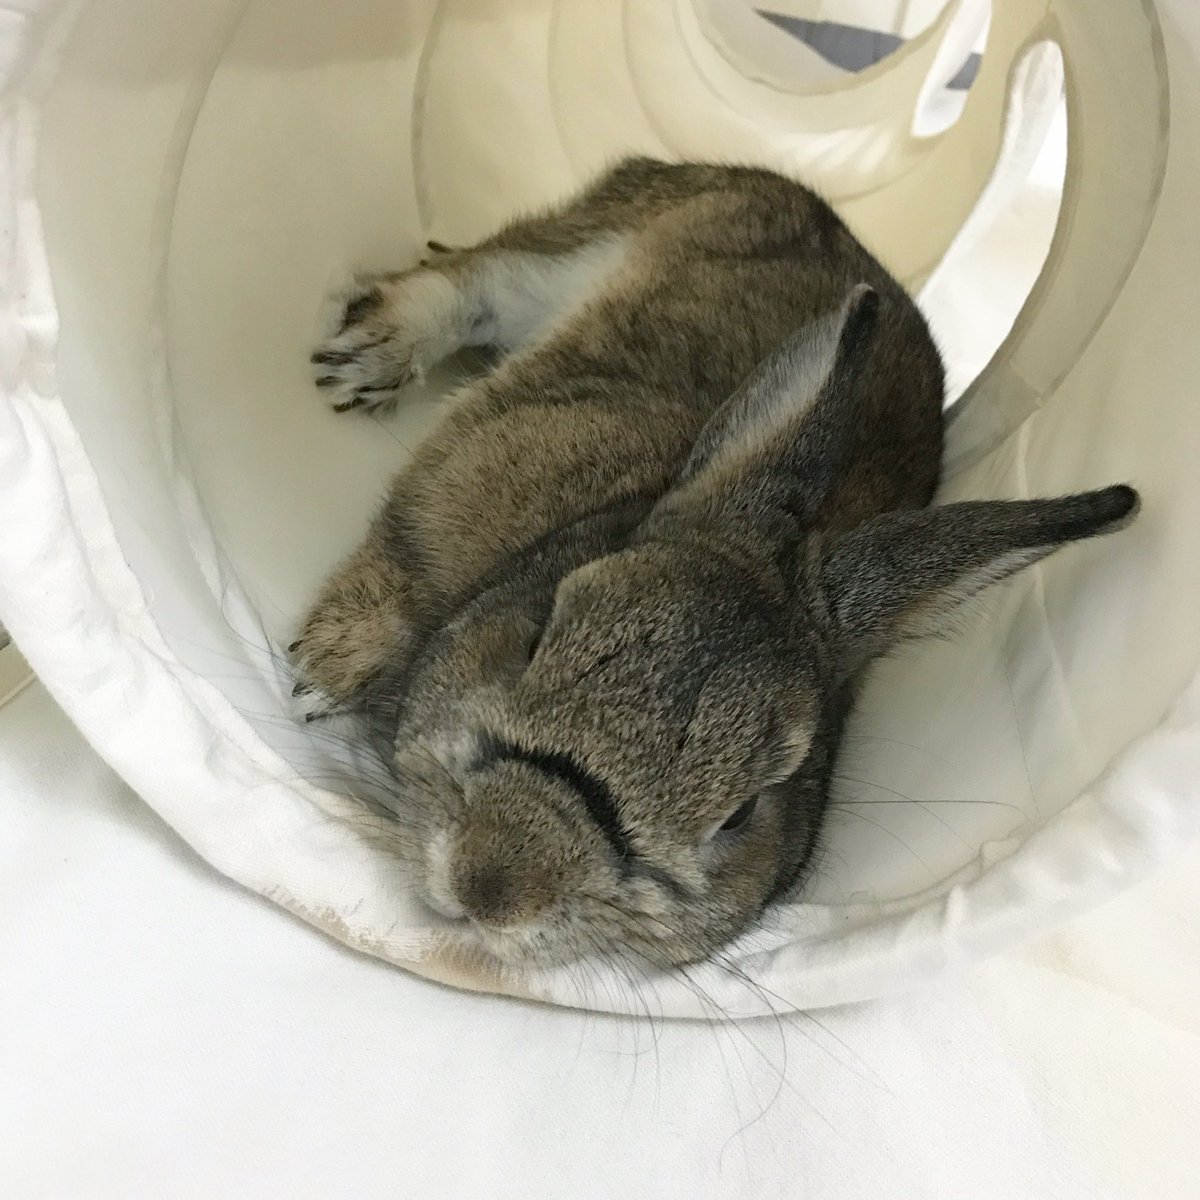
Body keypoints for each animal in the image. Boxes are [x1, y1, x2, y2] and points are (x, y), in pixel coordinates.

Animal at [292, 157, 1138, 970]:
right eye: (537, 635)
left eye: (742, 813)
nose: (491, 882)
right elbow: (400, 559)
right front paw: (319, 675)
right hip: (568, 257)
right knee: (471, 277)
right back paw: (366, 358)